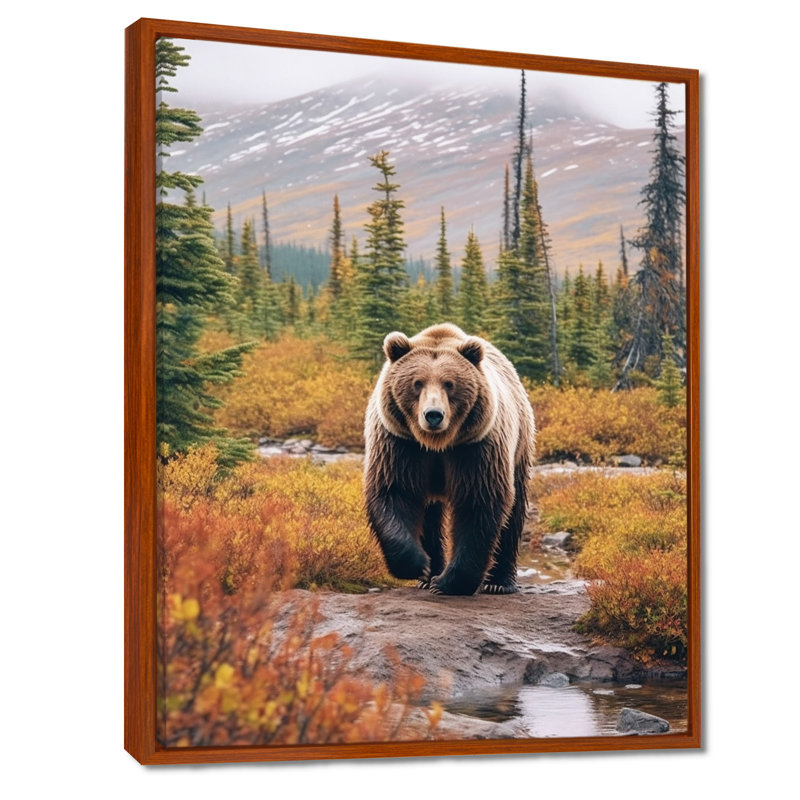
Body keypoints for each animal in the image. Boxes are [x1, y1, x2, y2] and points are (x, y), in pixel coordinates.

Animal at [363, 323, 535, 596]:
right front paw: (417, 565)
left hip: (519, 446)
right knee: (429, 515)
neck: (437, 445)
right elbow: (394, 491)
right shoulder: (399, 443)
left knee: (514, 511)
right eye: (417, 383)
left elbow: (478, 502)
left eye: (449, 384)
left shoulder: (475, 448)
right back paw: (428, 574)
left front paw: (448, 582)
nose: (433, 414)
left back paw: (499, 582)